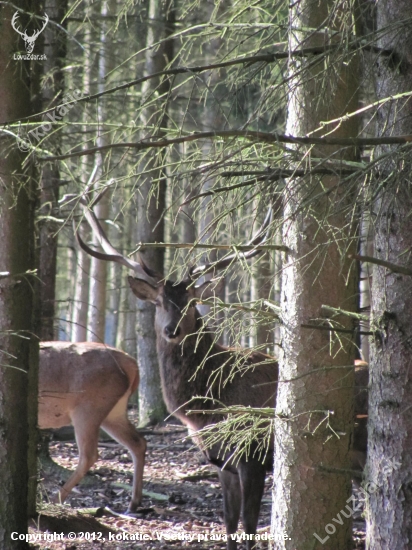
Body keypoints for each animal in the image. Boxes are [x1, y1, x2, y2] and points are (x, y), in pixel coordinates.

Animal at [38, 342, 147, 516]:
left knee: (89, 455)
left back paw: (55, 499)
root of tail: (132, 364)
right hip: (115, 411)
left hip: (88, 408)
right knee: (138, 442)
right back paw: (133, 503)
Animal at [74, 196, 278, 548]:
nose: (172, 330)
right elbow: (229, 524)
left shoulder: (252, 455)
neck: (209, 408)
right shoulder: (222, 461)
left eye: (192, 303)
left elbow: (250, 529)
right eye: (159, 302)